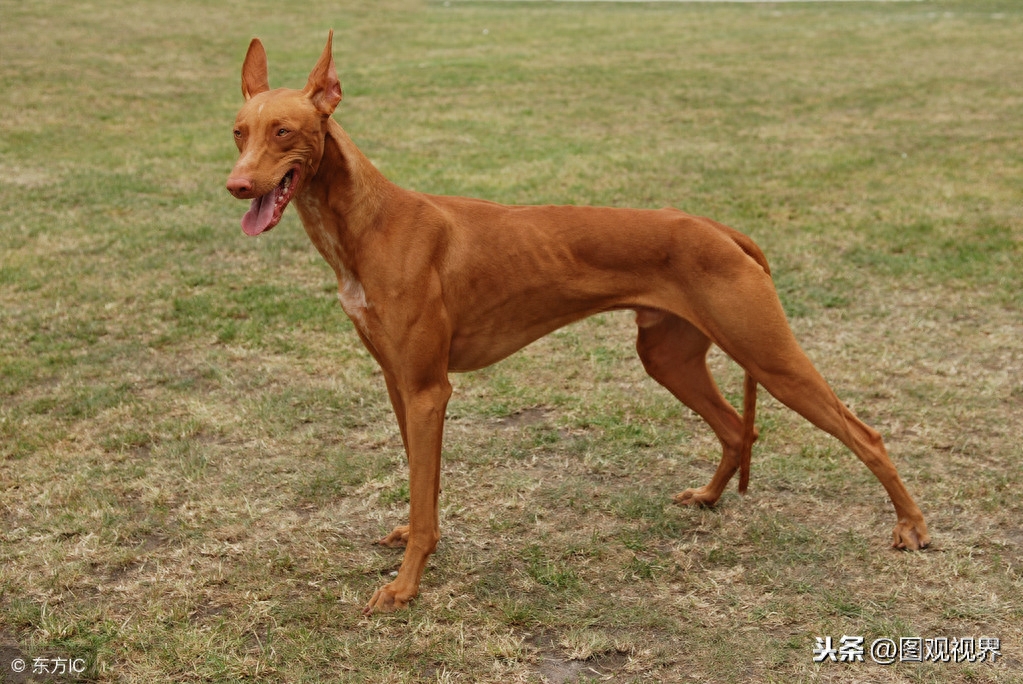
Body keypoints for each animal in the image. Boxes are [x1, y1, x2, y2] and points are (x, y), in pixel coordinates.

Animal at [228, 31, 932, 613]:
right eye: (239, 131)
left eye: (284, 132)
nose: (236, 185)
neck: (369, 224)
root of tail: (717, 228)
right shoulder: (399, 383)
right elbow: (418, 482)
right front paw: (408, 541)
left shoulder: (429, 388)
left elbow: (425, 497)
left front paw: (405, 587)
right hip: (669, 357)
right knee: (739, 427)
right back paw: (708, 499)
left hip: (771, 357)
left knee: (864, 434)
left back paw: (912, 526)